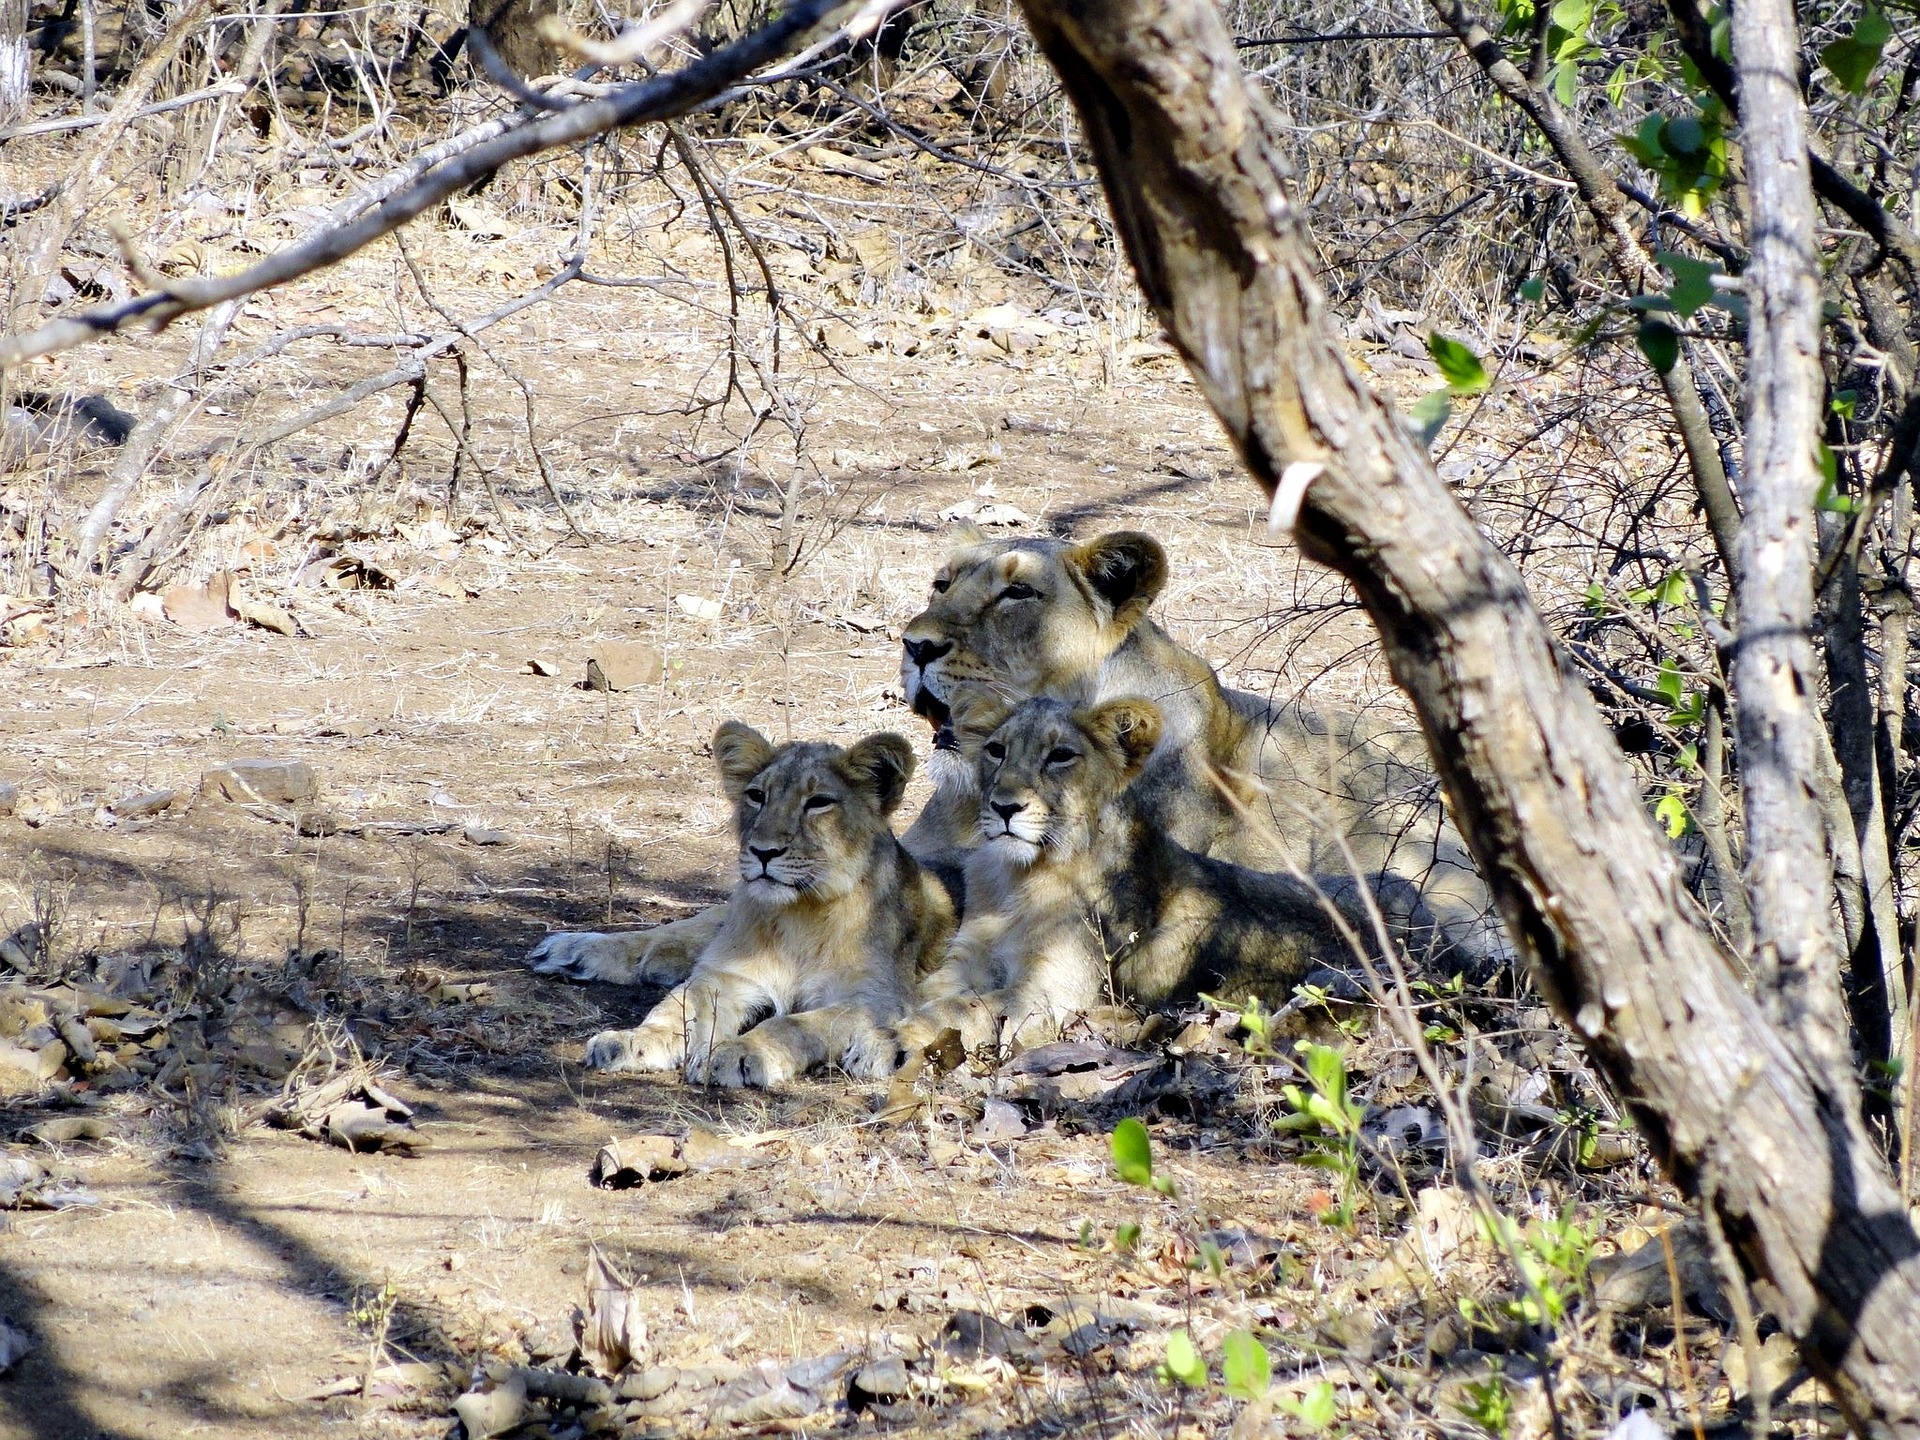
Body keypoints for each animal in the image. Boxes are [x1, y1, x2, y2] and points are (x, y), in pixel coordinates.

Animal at [580, 721, 956, 1088]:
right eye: (757, 796)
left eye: (819, 802)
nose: (763, 851)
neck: (800, 914)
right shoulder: (723, 975)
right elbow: (676, 1007)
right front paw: (632, 1039)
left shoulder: (874, 1000)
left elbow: (792, 1025)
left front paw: (739, 1052)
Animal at [896, 695, 1450, 1052]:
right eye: (997, 749)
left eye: (1060, 756)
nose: (1004, 807)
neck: (1019, 876)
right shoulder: (967, 958)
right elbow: (932, 993)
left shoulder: (1052, 998)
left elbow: (969, 1008)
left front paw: (896, 1032)